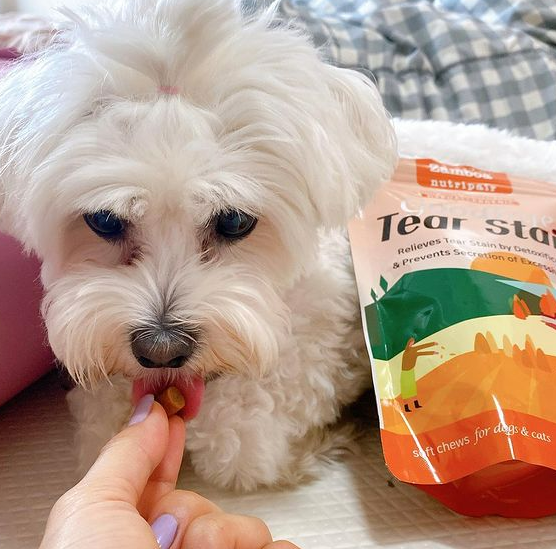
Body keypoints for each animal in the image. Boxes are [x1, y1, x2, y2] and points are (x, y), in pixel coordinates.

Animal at [0, 0, 397, 491]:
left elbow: (240, 445)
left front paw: (318, 443)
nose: (161, 350)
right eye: (103, 221)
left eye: (234, 220)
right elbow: (100, 426)